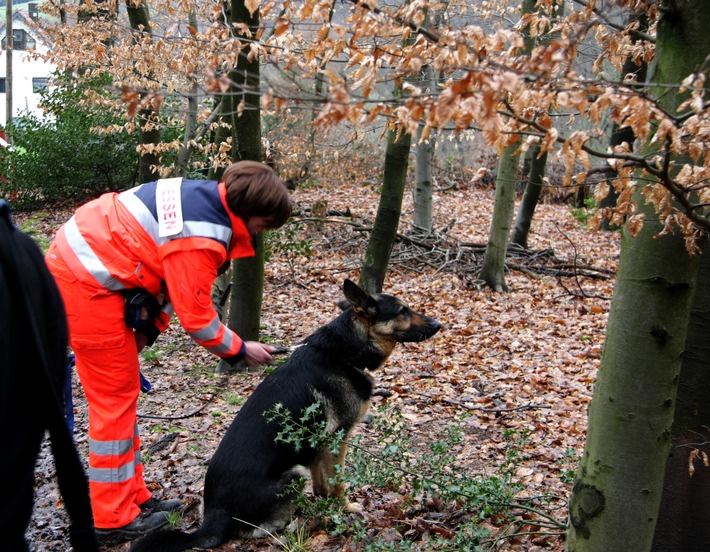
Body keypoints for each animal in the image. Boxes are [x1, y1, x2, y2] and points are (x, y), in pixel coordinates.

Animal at [128, 280, 440, 552]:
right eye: (403, 311)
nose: (439, 325)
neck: (343, 351)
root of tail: (215, 515)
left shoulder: (318, 446)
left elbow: (322, 483)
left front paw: (326, 504)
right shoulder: (337, 438)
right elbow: (337, 482)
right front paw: (346, 507)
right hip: (294, 474)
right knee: (257, 530)